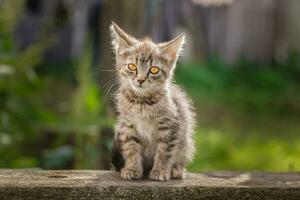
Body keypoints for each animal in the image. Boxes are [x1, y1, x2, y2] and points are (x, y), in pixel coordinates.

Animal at [110, 21, 195, 181]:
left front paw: (160, 171)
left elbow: (165, 151)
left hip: (186, 144)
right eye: (132, 66)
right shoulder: (128, 125)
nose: (141, 79)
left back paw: (176, 169)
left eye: (154, 70)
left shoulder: (171, 126)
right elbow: (131, 148)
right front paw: (132, 168)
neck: (142, 102)